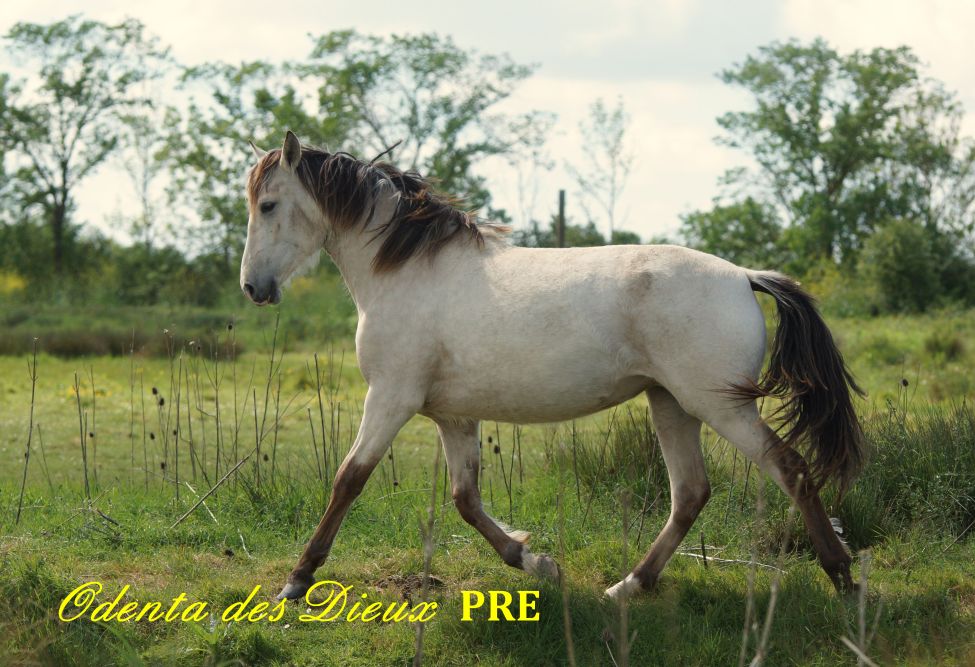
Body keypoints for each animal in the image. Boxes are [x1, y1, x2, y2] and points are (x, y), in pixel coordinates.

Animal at [240, 131, 864, 603]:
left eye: (267, 205)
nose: (253, 288)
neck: (407, 269)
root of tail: (743, 276)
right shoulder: (452, 417)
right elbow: (465, 499)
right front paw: (536, 561)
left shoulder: (391, 399)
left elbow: (349, 479)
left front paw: (296, 580)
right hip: (672, 404)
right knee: (690, 493)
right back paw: (628, 586)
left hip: (720, 406)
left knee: (791, 471)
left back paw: (843, 579)